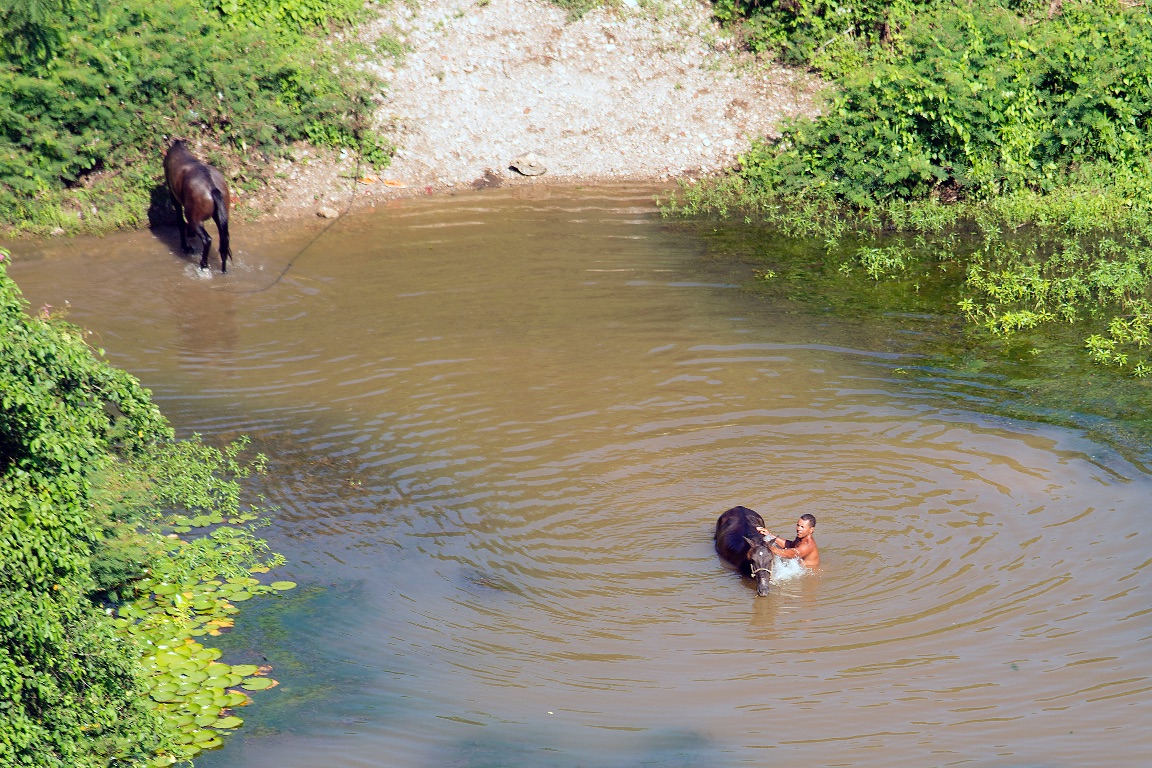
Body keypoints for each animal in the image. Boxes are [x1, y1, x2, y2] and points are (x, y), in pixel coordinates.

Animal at [164, 141, 231, 272]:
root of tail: (212, 187)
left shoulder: (174, 197)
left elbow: (180, 221)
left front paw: (185, 246)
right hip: (220, 217)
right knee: (223, 241)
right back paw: (224, 269)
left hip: (194, 218)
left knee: (207, 240)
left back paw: (203, 264)